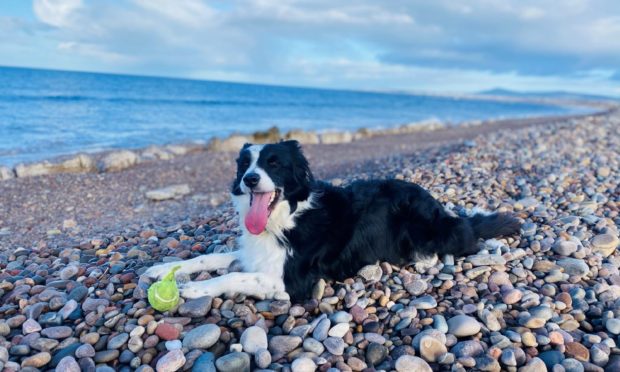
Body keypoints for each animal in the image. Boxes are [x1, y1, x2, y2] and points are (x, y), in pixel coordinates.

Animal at [143, 140, 520, 302]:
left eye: (274, 163)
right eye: (244, 164)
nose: (250, 180)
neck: (287, 217)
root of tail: (435, 202)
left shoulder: (292, 281)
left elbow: (236, 276)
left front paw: (195, 288)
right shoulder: (256, 252)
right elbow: (210, 258)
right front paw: (163, 270)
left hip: (427, 227)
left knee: (466, 236)